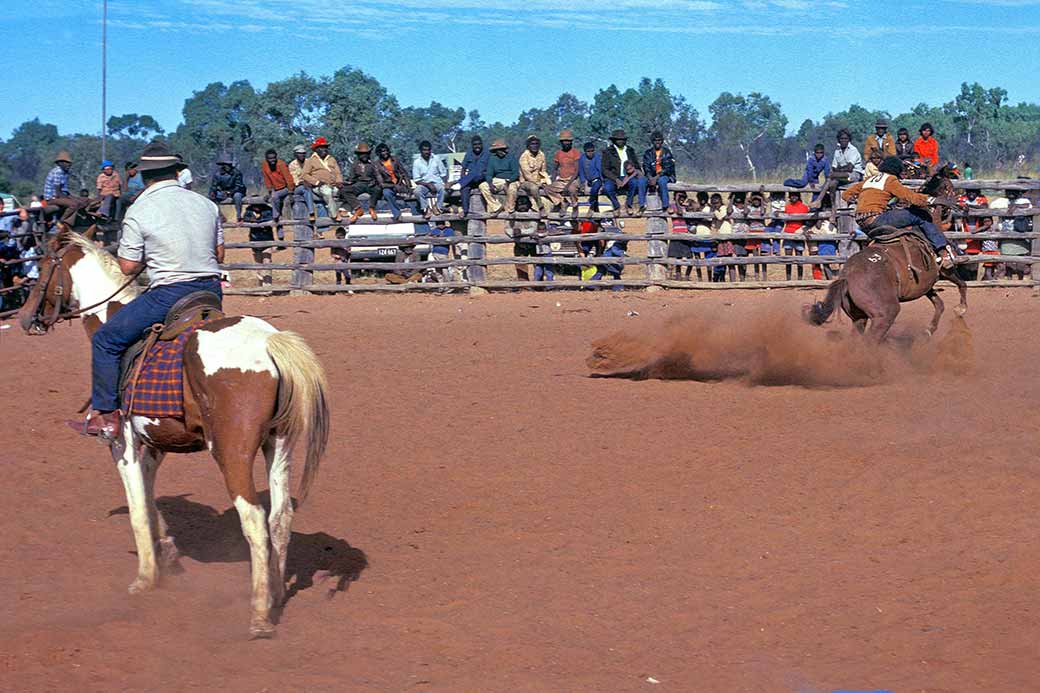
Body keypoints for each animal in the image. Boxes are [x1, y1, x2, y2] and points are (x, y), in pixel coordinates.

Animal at [18, 227, 330, 636]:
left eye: (40, 268)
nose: (24, 318)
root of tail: (269, 344)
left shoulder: (123, 444)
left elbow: (137, 507)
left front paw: (145, 577)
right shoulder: (155, 446)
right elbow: (151, 498)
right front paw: (166, 550)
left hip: (232, 453)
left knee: (255, 520)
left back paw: (260, 614)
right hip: (278, 446)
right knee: (280, 517)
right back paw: (276, 595)